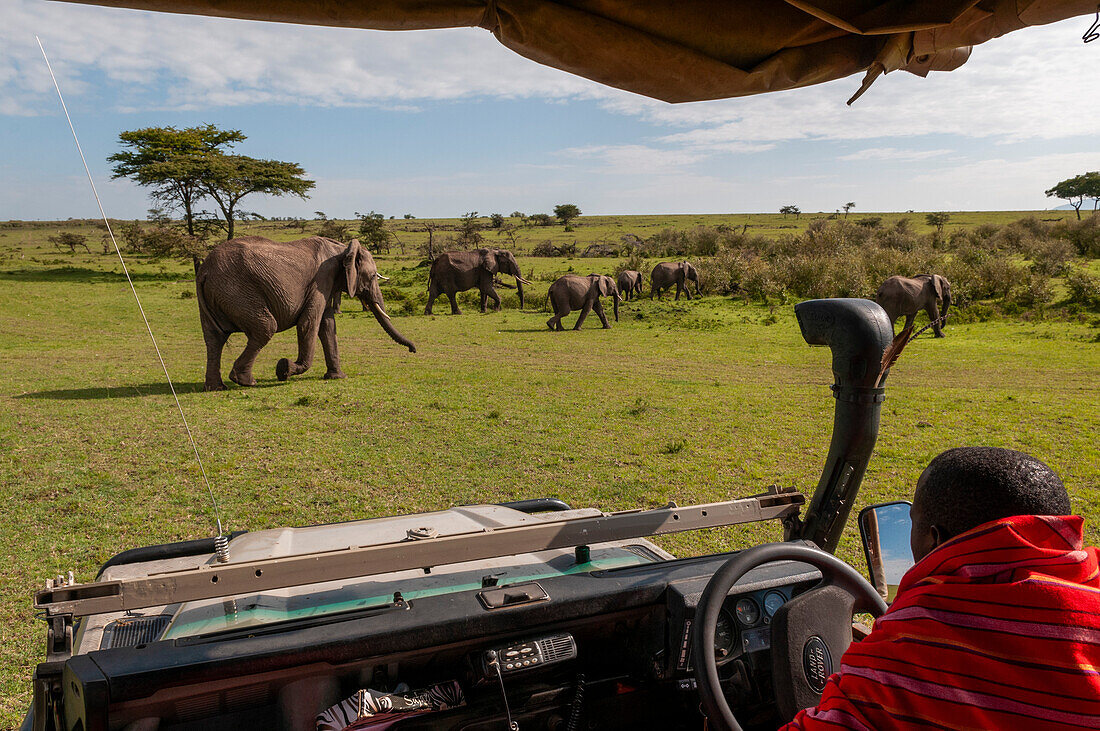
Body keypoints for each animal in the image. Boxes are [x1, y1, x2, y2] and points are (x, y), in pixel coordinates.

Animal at [193, 236, 415, 391]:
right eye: (372, 277)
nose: (413, 350)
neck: (342, 249)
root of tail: (204, 271)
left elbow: (328, 326)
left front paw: (337, 377)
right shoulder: (321, 279)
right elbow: (309, 323)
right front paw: (284, 369)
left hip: (219, 293)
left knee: (214, 338)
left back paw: (216, 387)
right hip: (237, 291)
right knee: (265, 328)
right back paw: (246, 382)